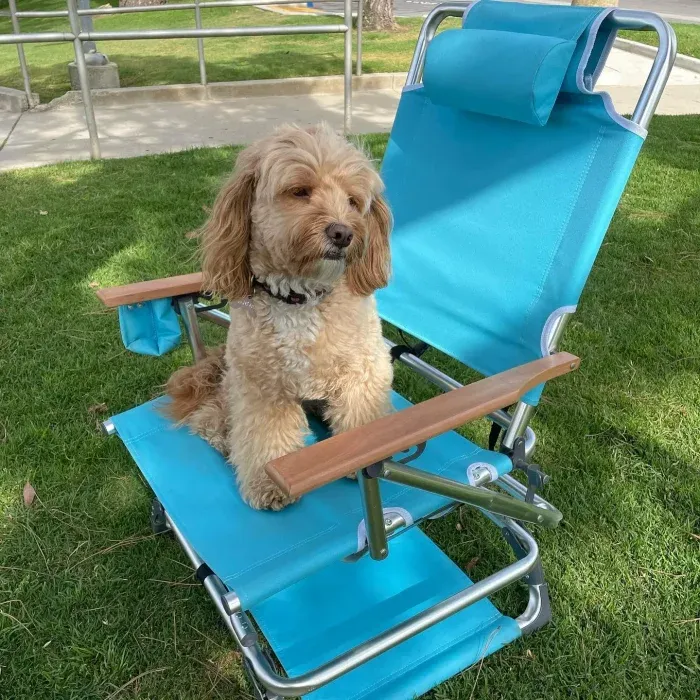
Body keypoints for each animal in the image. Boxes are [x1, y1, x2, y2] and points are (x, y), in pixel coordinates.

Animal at [165, 124, 394, 508]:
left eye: (352, 201)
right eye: (299, 191)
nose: (343, 233)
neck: (300, 298)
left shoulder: (365, 369)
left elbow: (362, 415)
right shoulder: (261, 387)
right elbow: (264, 437)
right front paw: (266, 483)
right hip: (231, 381)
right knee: (210, 416)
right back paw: (222, 437)